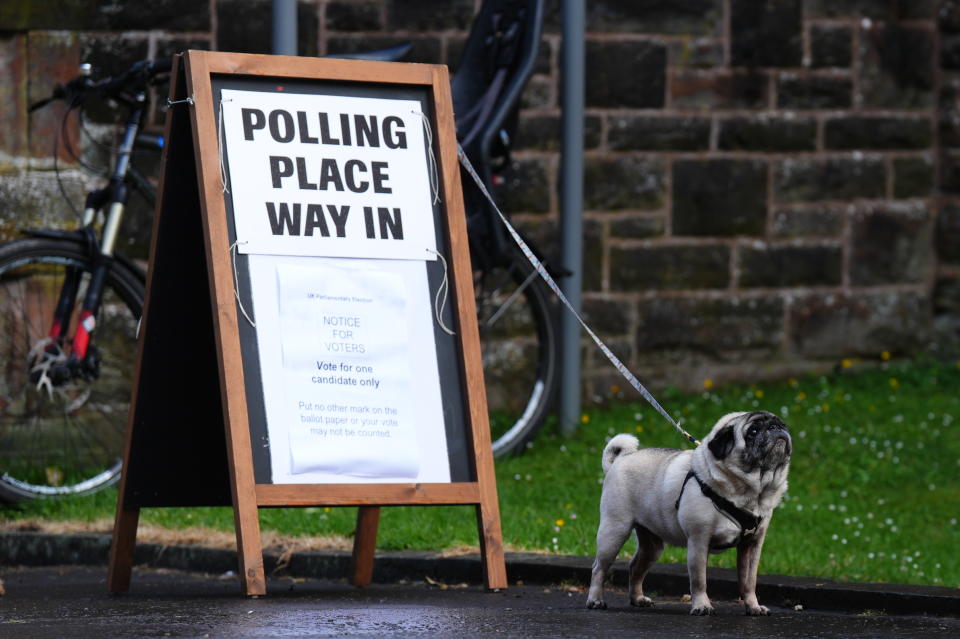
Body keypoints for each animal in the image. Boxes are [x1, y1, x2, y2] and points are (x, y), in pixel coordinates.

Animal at [584, 412, 796, 616]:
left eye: (782, 424)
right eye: (753, 431)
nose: (776, 427)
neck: (752, 493)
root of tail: (620, 460)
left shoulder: (751, 545)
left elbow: (749, 582)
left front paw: (753, 607)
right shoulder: (699, 540)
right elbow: (699, 580)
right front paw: (702, 606)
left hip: (652, 546)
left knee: (635, 566)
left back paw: (638, 599)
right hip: (614, 531)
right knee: (599, 568)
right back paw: (595, 600)